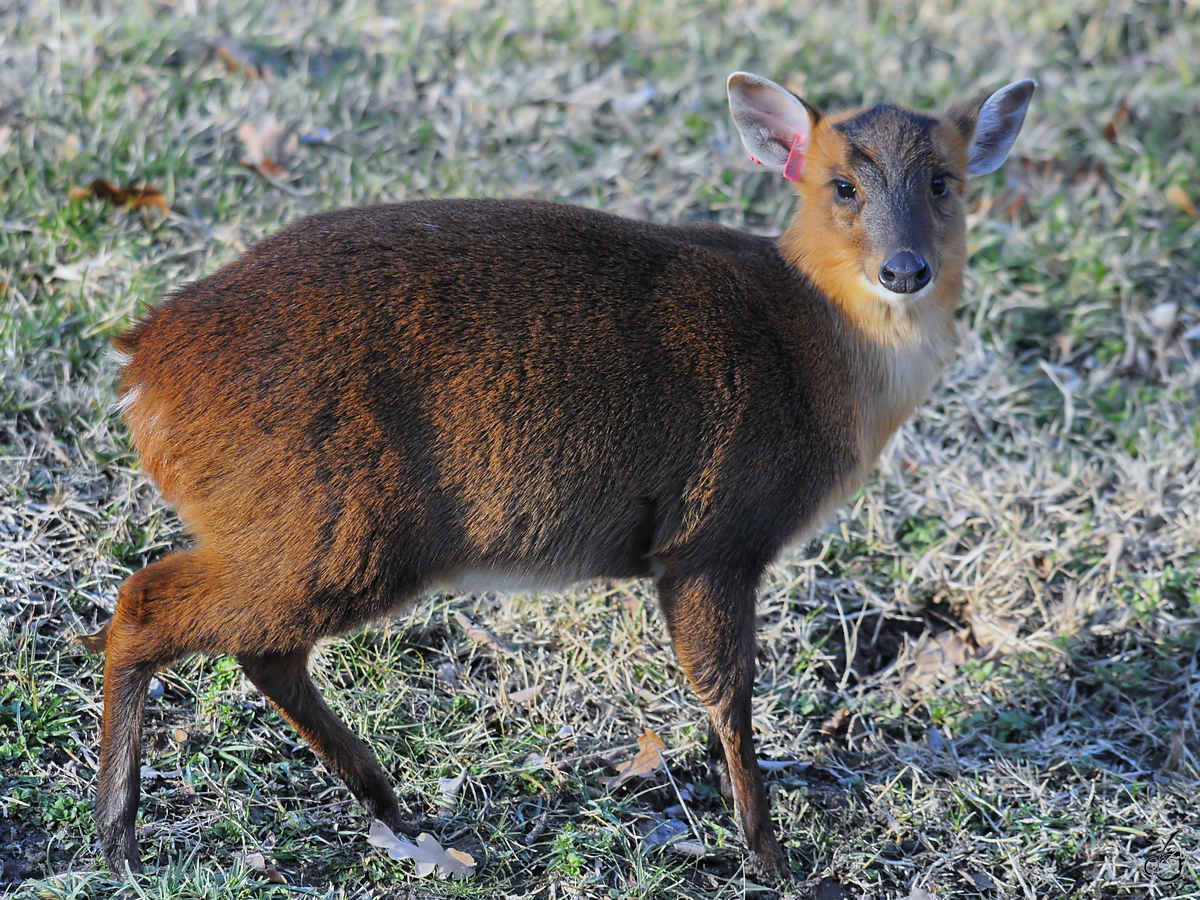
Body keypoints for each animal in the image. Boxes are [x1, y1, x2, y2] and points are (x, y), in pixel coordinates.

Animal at [96, 74, 1032, 883]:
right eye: (842, 185)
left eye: (943, 181)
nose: (904, 269)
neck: (818, 342)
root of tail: (143, 370)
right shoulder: (714, 535)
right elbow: (728, 691)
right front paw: (770, 854)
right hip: (337, 526)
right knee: (147, 603)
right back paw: (119, 834)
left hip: (317, 536)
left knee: (258, 646)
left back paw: (389, 805)